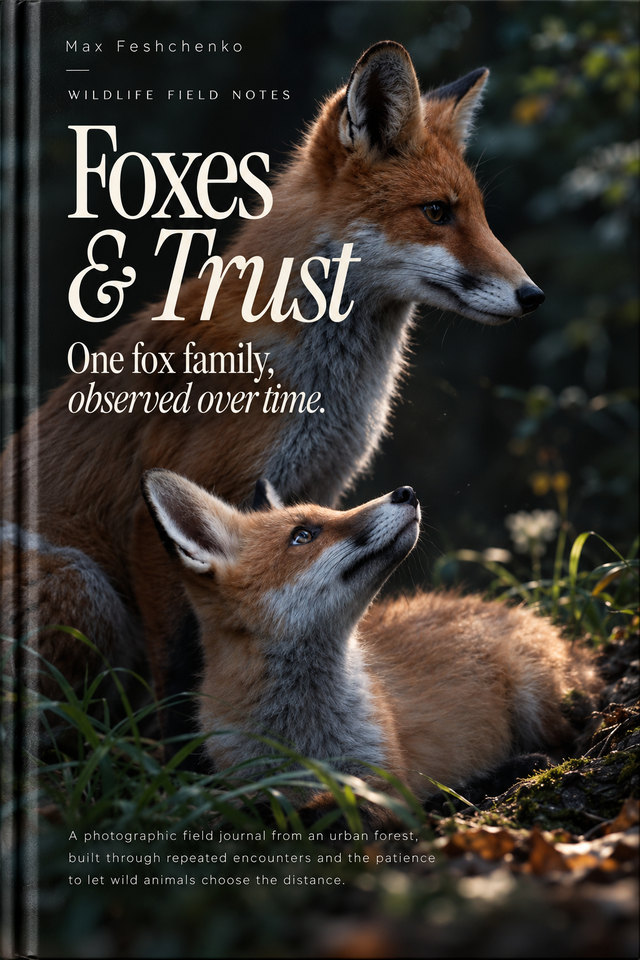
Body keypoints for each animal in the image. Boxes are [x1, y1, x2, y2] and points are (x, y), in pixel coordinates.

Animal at [1, 41, 545, 699]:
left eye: (480, 216)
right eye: (437, 212)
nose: (533, 295)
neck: (326, 386)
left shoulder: (317, 492)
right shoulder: (157, 522)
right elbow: (178, 668)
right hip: (80, 584)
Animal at [141, 470, 598, 800]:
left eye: (326, 512)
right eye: (303, 535)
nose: (406, 491)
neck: (306, 734)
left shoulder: (381, 777)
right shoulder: (248, 783)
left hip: (537, 703)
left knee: (573, 737)